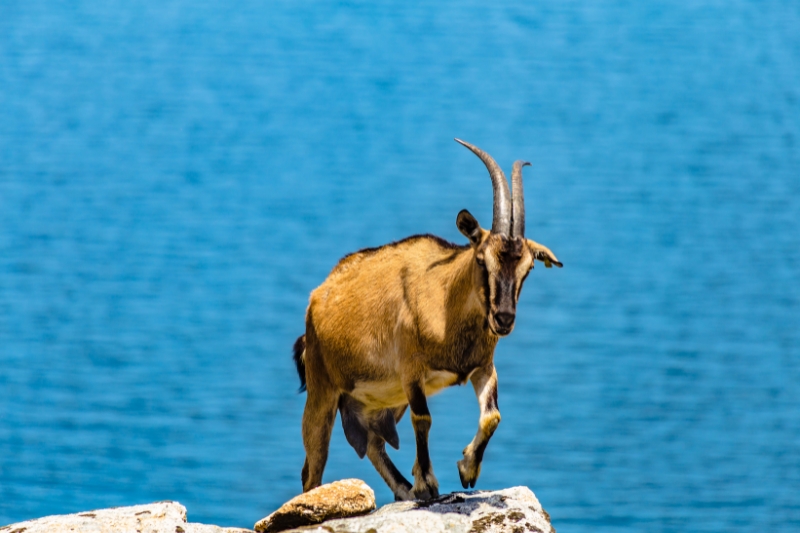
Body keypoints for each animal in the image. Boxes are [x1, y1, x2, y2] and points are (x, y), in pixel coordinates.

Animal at [290, 138, 560, 498]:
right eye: (481, 259)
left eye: (528, 268)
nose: (503, 319)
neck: (445, 299)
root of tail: (316, 302)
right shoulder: (411, 372)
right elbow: (424, 419)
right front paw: (427, 482)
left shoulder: (481, 367)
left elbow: (493, 416)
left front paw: (466, 469)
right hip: (323, 391)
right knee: (313, 468)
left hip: (381, 400)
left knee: (373, 443)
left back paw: (404, 489)